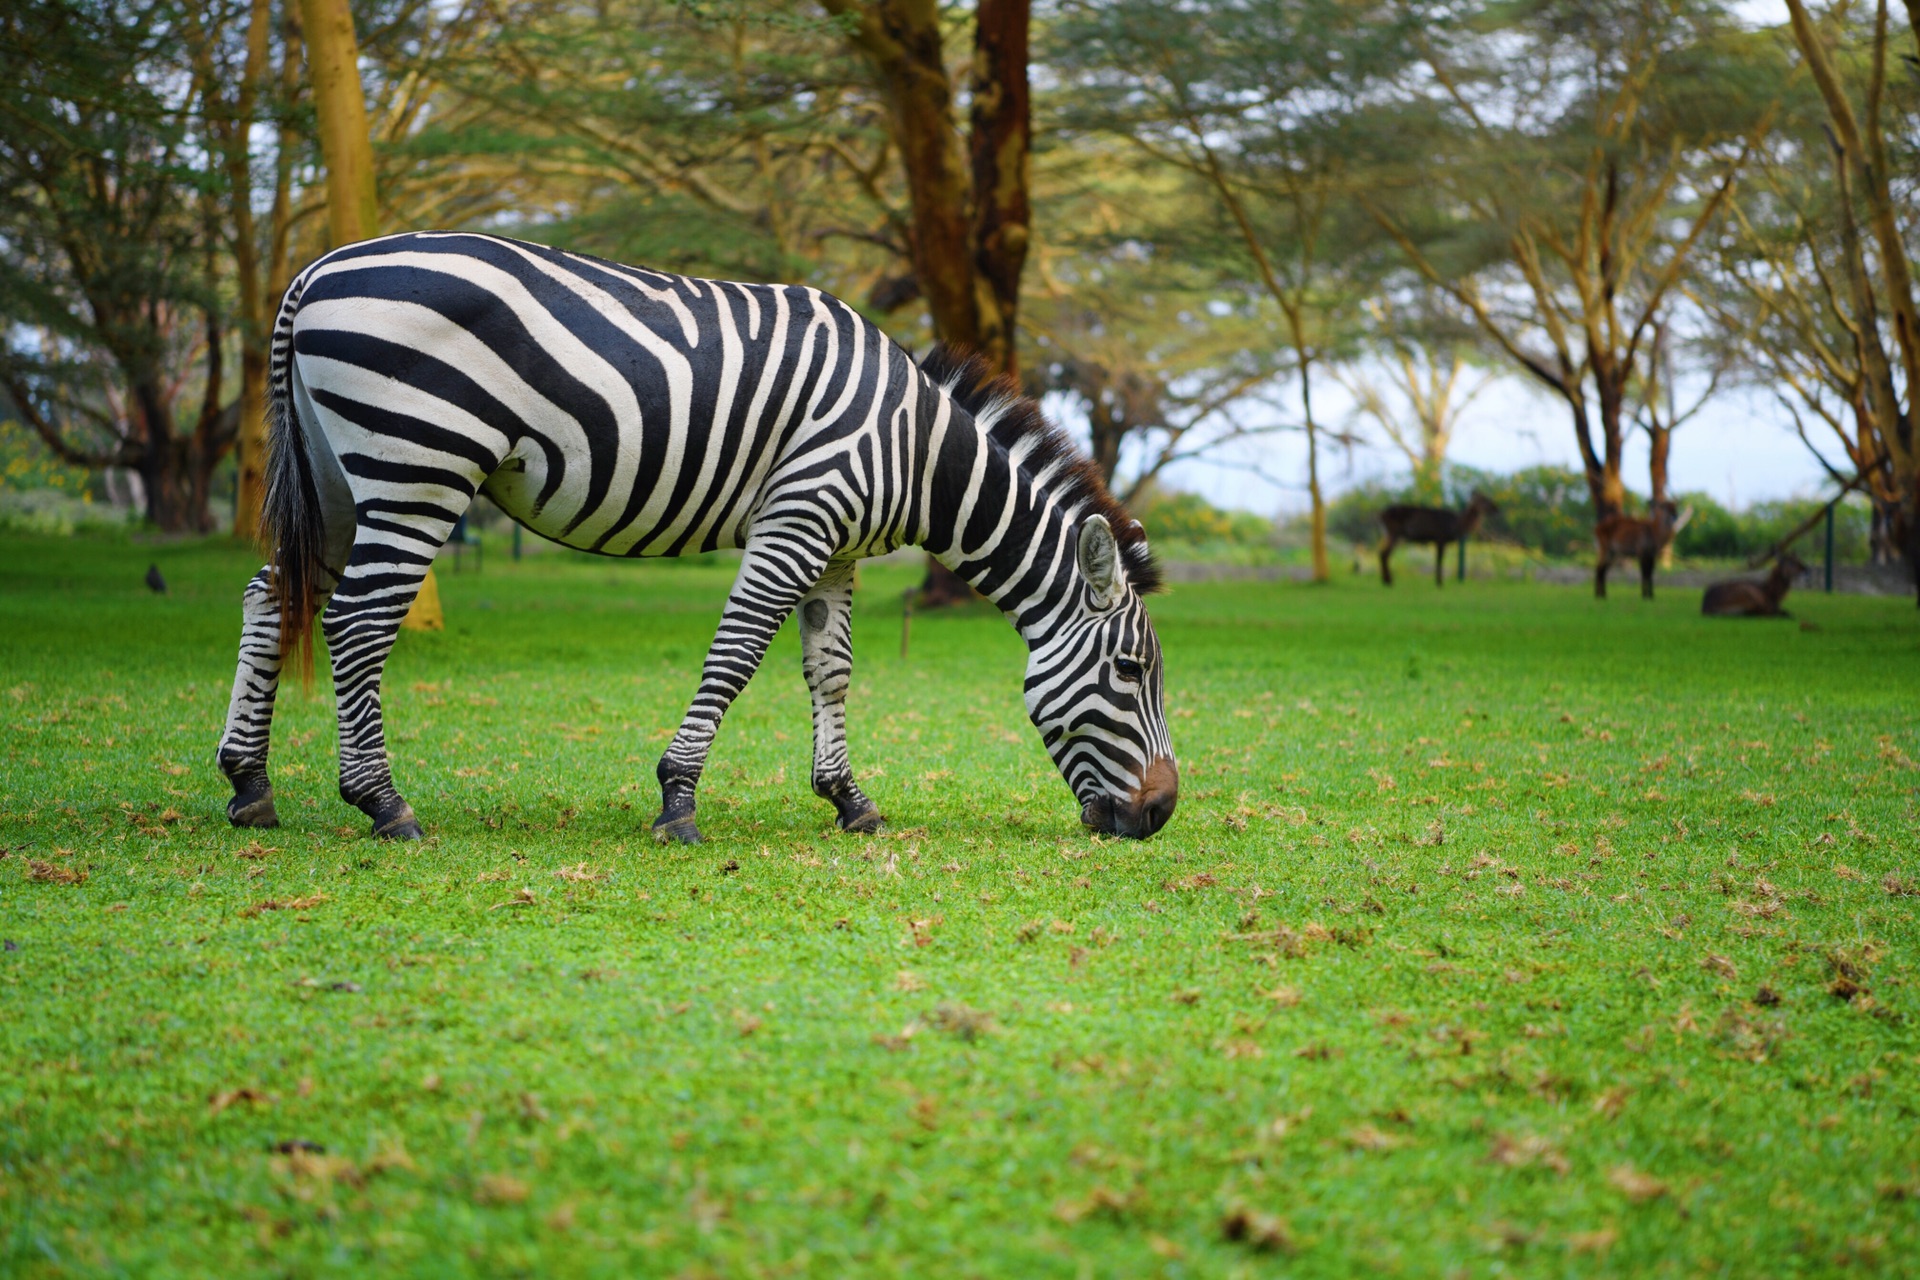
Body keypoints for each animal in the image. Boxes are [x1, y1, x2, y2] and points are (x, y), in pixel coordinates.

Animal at [206, 235, 1167, 844]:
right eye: (1130, 671)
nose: (1161, 815)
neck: (917, 450)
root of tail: (314, 272)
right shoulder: (800, 515)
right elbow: (736, 657)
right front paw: (678, 801)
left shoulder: (840, 549)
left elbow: (832, 670)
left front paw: (848, 799)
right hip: (418, 467)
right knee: (357, 624)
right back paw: (384, 804)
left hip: (335, 476)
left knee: (268, 596)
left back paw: (250, 786)